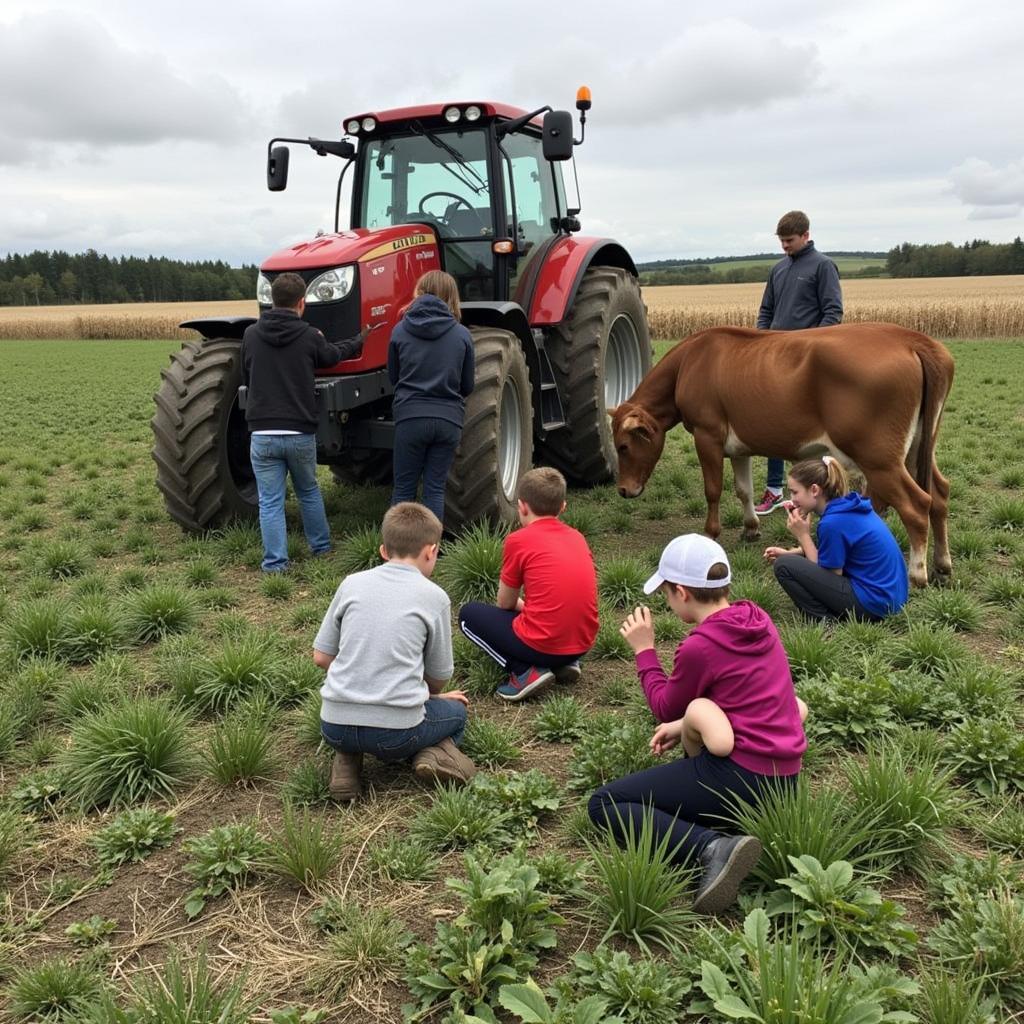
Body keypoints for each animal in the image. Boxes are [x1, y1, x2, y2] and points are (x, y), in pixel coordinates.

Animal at [606, 323, 950, 589]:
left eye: (623, 446)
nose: (623, 490)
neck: (690, 362)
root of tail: (910, 338)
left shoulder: (708, 435)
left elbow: (713, 489)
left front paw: (711, 534)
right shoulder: (739, 447)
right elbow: (742, 489)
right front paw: (750, 527)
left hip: (879, 457)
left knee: (917, 504)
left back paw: (917, 573)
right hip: (917, 449)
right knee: (940, 493)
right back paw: (942, 565)